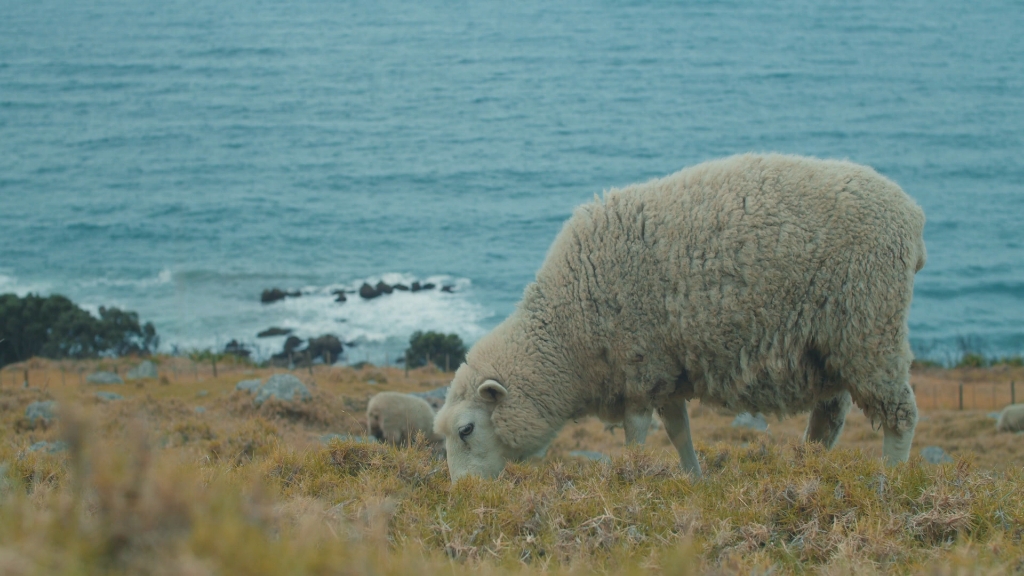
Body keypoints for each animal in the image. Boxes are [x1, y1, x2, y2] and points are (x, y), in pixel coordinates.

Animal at [432, 152, 929, 479]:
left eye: (466, 429)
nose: (463, 493)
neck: (568, 333)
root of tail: (911, 215)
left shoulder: (638, 364)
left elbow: (636, 432)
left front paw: (631, 476)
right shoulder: (664, 369)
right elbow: (678, 431)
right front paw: (694, 478)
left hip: (871, 326)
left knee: (901, 415)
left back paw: (888, 482)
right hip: (828, 344)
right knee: (830, 416)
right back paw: (810, 467)